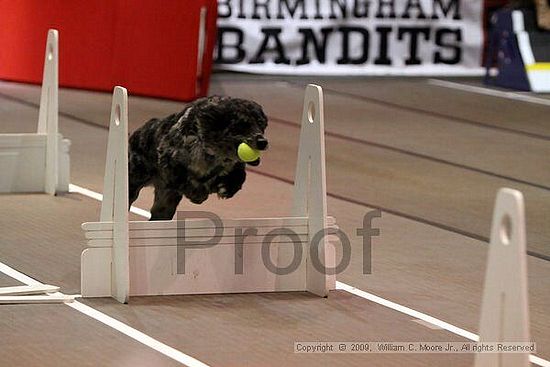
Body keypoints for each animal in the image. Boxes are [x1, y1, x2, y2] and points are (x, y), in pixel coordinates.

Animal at [128, 96, 268, 220]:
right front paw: (197, 193)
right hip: (133, 185)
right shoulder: (169, 160)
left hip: (165, 204)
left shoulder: (234, 166)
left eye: (261, 123)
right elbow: (184, 179)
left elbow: (238, 176)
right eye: (242, 125)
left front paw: (226, 187)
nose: (263, 142)